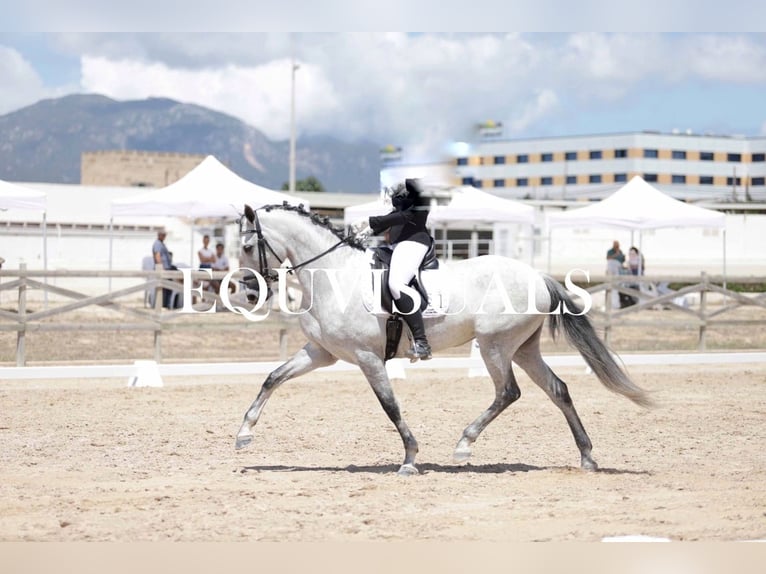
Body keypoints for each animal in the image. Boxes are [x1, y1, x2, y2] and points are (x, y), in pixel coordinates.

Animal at [236, 205, 656, 474]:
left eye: (246, 246)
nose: (249, 293)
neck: (334, 273)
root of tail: (538, 276)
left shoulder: (367, 357)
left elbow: (390, 406)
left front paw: (409, 458)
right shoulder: (321, 352)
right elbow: (272, 378)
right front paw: (243, 434)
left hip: (494, 345)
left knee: (508, 392)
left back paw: (464, 444)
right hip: (522, 348)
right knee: (558, 390)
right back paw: (586, 457)